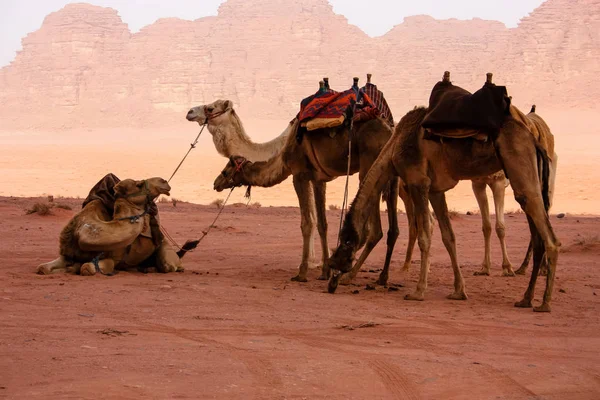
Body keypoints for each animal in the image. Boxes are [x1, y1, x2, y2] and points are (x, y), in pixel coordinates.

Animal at [37, 177, 197, 276]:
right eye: (138, 184)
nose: (164, 181)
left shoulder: (114, 259)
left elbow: (87, 267)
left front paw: (75, 268)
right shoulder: (67, 255)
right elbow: (42, 267)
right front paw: (65, 269)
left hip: (166, 251)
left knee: (169, 265)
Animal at [326, 76, 560, 312]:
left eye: (342, 251)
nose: (331, 283)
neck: (394, 147)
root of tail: (533, 135)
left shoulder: (418, 182)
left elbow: (425, 235)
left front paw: (418, 292)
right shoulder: (436, 191)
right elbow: (449, 237)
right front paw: (459, 291)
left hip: (519, 166)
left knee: (548, 235)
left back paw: (545, 303)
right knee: (537, 230)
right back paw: (526, 298)